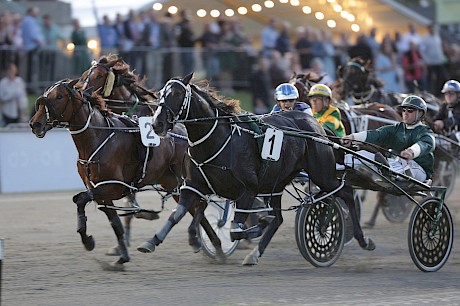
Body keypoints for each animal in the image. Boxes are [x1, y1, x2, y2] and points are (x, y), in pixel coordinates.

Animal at [27, 80, 226, 268]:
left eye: (59, 96)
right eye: (46, 94)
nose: (35, 124)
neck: (98, 138)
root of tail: (186, 132)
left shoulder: (113, 187)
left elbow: (80, 199)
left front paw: (87, 240)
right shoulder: (99, 191)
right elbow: (115, 223)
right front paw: (121, 256)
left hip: (189, 180)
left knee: (200, 204)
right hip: (173, 183)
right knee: (191, 207)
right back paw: (212, 245)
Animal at [137, 74, 374, 266]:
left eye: (177, 94)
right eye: (161, 93)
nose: (157, 123)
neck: (218, 139)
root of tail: (316, 126)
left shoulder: (248, 190)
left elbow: (235, 229)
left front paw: (256, 225)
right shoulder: (194, 186)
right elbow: (177, 215)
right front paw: (152, 241)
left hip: (321, 173)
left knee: (345, 192)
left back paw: (361, 238)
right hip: (277, 182)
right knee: (279, 218)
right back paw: (254, 254)